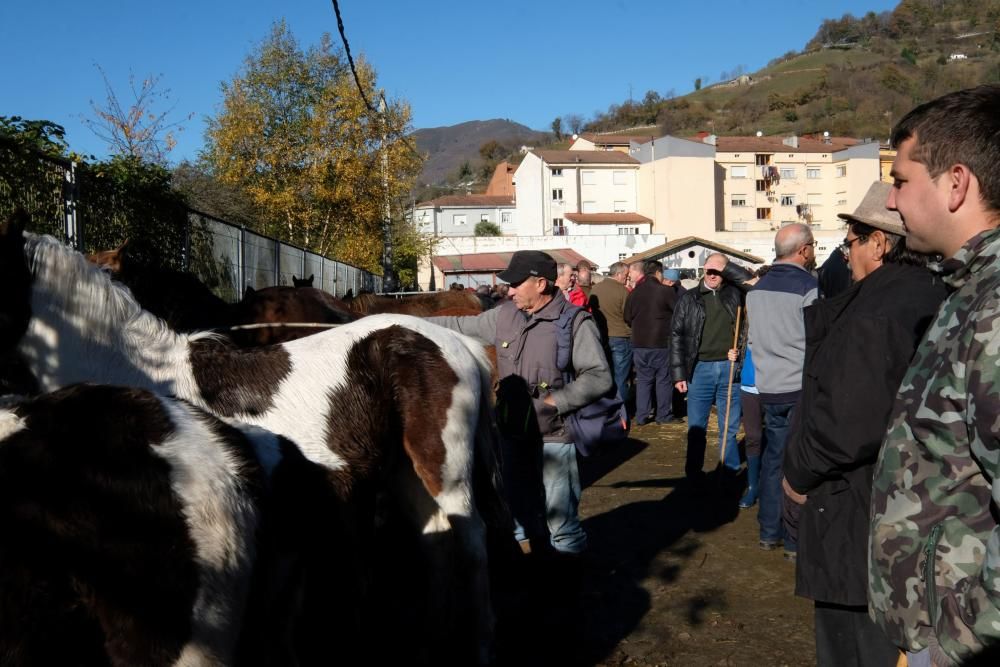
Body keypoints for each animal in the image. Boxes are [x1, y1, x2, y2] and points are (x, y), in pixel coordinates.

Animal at [0, 217, 500, 664]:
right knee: (437, 543)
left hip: (445, 470)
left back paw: (479, 648)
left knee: (473, 545)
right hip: (405, 471)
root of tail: (460, 344)